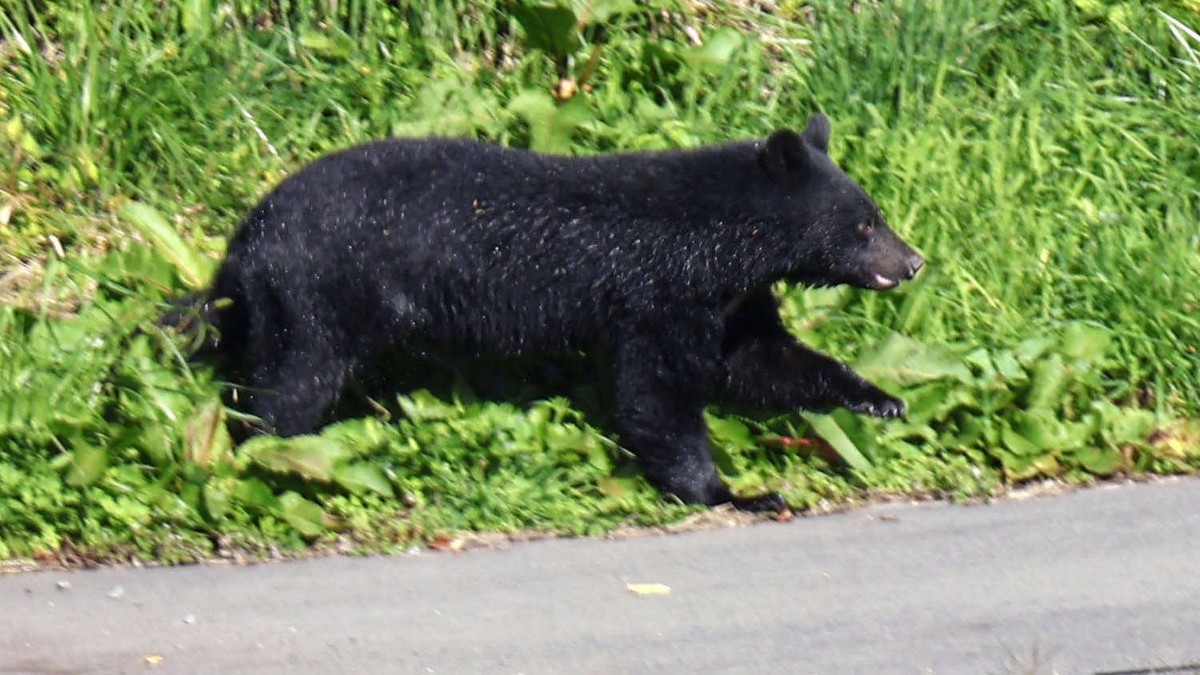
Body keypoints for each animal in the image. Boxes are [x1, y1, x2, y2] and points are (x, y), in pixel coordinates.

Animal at [189, 113, 924, 513]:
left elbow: (761, 360)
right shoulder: (659, 293)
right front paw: (731, 492)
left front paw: (879, 398)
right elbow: (658, 395)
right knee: (291, 385)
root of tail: (244, 240)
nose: (913, 260)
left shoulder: (731, 300)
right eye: (864, 223)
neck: (722, 241)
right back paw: (261, 459)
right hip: (318, 293)